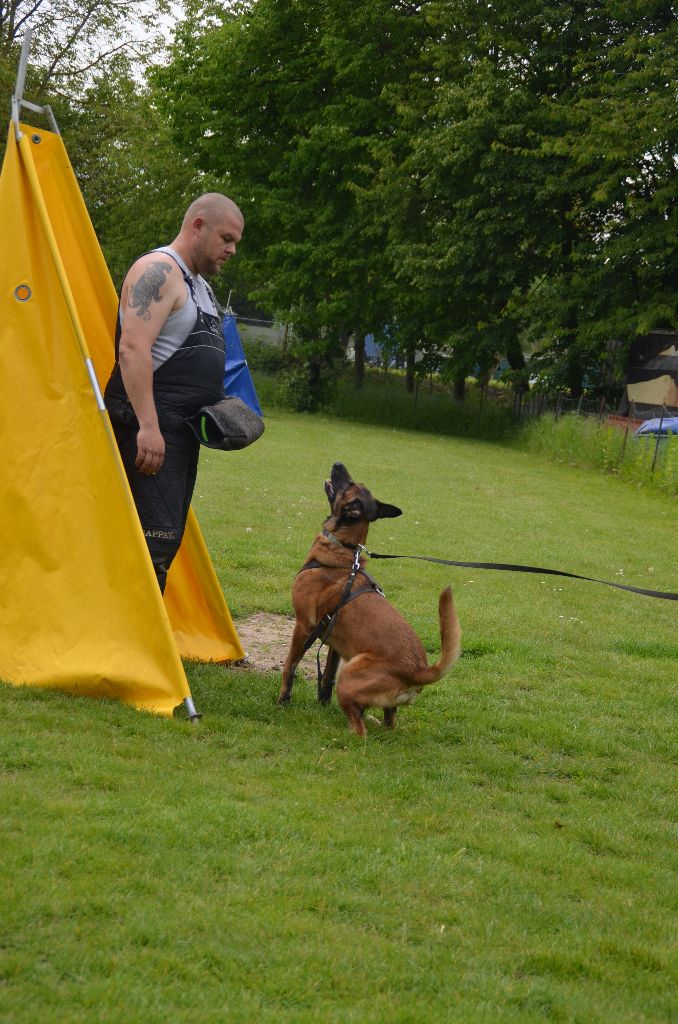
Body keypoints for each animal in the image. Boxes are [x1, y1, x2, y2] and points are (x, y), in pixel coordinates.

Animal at [278, 464, 462, 737]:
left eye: (349, 483)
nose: (338, 463)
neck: (342, 550)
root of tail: (419, 670)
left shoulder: (303, 627)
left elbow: (290, 666)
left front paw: (283, 700)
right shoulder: (335, 643)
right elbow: (326, 678)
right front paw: (322, 704)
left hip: (350, 675)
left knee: (360, 732)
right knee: (386, 724)